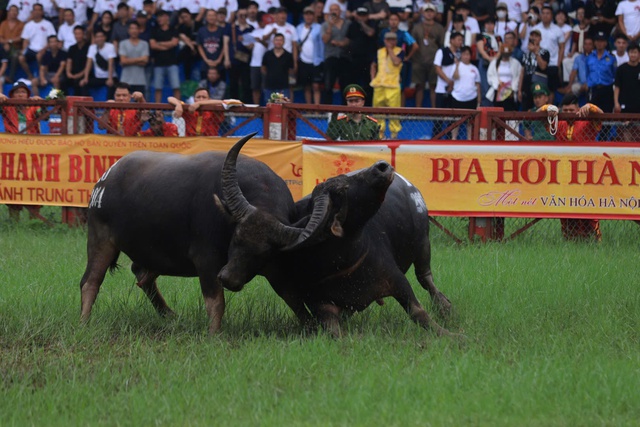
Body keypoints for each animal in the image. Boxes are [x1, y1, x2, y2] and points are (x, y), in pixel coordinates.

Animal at [79, 134, 330, 334]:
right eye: (236, 237)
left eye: (264, 252)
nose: (228, 278)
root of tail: (106, 178)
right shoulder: (206, 261)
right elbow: (216, 301)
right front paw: (213, 334)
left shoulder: (275, 266)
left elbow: (293, 297)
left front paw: (312, 327)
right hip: (100, 239)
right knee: (90, 281)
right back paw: (85, 322)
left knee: (142, 275)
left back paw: (169, 314)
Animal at [222, 137, 452, 338]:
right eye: (343, 189)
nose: (382, 166)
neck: (342, 257)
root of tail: (408, 185)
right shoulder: (320, 303)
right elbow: (334, 330)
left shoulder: (397, 280)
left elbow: (419, 313)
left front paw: (454, 335)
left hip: (423, 244)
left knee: (426, 278)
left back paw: (446, 308)